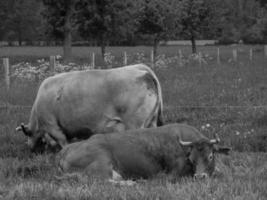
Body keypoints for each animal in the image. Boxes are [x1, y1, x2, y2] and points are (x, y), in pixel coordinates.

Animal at [16, 64, 164, 152]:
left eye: (28, 134)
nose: (29, 148)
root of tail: (144, 72)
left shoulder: (52, 125)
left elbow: (63, 142)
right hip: (151, 121)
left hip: (135, 123)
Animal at [57, 122, 232, 182]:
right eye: (191, 159)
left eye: (210, 156)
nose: (200, 176)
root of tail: (66, 149)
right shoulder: (171, 174)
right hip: (101, 163)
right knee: (104, 181)